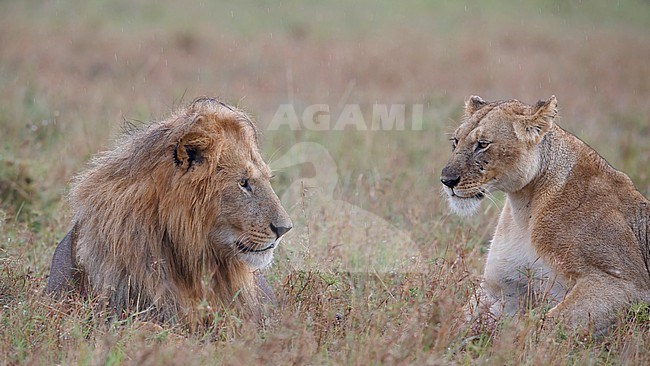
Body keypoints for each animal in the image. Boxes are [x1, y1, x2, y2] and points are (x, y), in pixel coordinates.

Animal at [440, 95, 648, 334]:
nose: (446, 180)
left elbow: (546, 326)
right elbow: (455, 320)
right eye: (455, 141)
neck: (523, 210)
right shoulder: (501, 288)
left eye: (482, 144)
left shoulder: (627, 283)